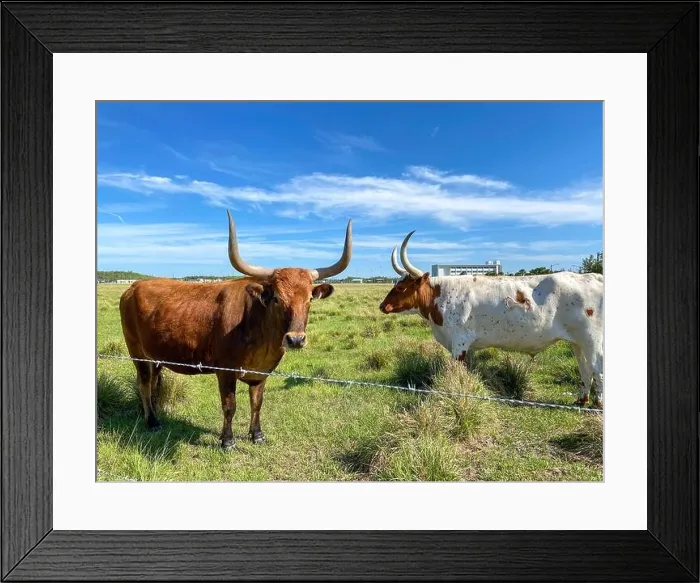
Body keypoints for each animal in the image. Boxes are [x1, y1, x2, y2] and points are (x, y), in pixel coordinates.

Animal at [119, 210, 352, 448]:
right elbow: (229, 405)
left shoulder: (261, 372)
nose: (295, 339)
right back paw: (152, 421)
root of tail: (133, 286)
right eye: (277, 298)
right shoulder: (225, 371)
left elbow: (257, 402)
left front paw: (257, 434)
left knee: (153, 383)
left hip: (156, 355)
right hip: (137, 352)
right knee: (144, 384)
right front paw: (227, 440)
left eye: (309, 299)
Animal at [378, 231, 604, 408]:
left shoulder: (459, 343)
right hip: (577, 342)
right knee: (584, 368)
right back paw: (581, 400)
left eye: (401, 287)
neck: (441, 295)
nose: (382, 306)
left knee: (597, 367)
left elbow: (458, 370)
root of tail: (592, 276)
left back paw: (597, 403)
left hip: (591, 340)